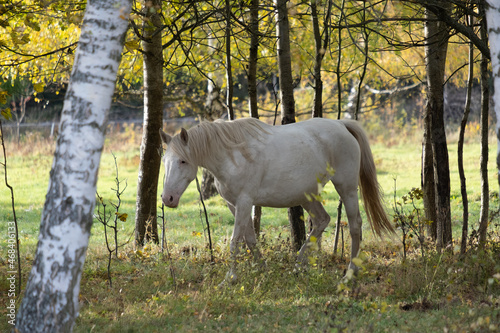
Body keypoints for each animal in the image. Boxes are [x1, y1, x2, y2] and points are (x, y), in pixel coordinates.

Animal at [160, 116, 394, 282]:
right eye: (165, 160)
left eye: (183, 161)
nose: (167, 198)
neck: (232, 155)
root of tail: (341, 124)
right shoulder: (234, 205)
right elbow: (249, 238)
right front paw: (261, 269)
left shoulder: (244, 202)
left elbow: (235, 241)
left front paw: (230, 279)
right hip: (307, 196)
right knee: (322, 220)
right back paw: (298, 265)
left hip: (347, 188)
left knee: (355, 226)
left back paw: (349, 275)